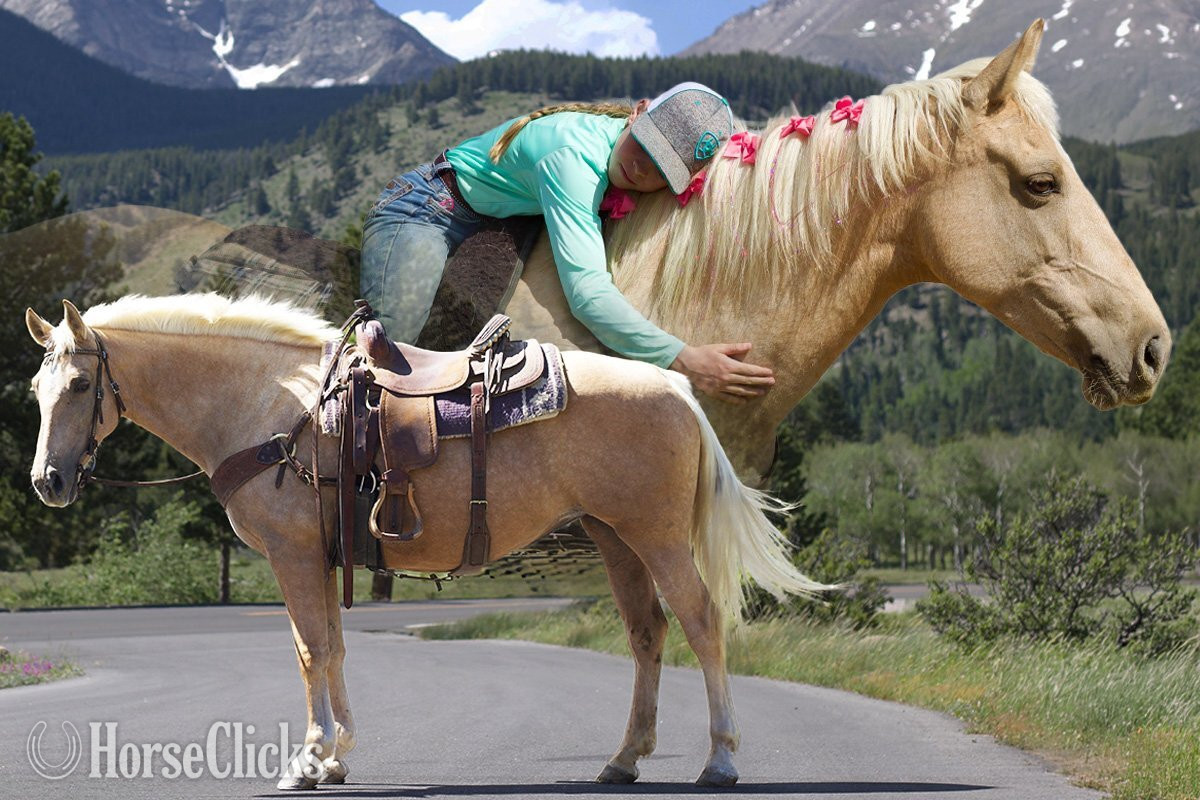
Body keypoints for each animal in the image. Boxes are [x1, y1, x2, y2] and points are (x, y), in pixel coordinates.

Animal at [24, 292, 827, 789]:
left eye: (78, 387)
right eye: (36, 391)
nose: (47, 482)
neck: (269, 407)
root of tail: (678, 391)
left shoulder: (292, 555)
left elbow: (310, 650)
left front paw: (308, 761)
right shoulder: (322, 559)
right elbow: (330, 648)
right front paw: (337, 757)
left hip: (653, 536)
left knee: (702, 623)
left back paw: (720, 761)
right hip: (615, 537)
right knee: (647, 633)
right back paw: (624, 759)